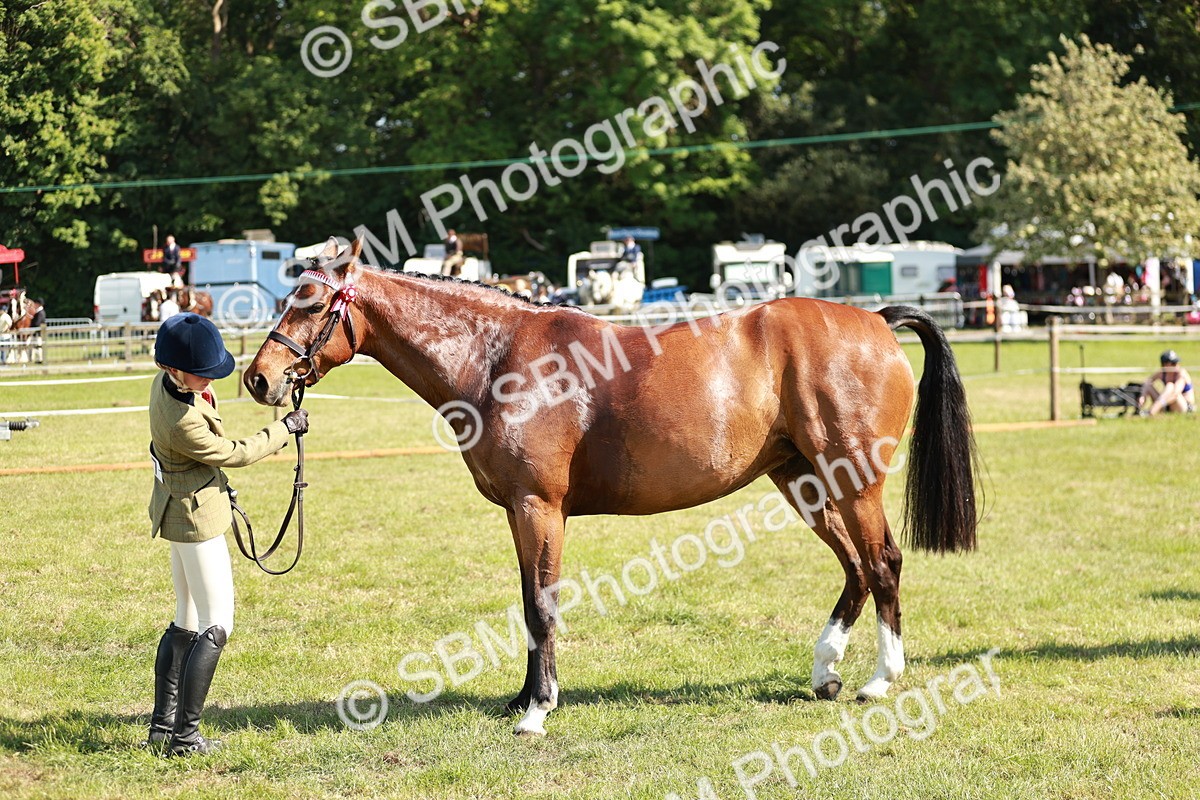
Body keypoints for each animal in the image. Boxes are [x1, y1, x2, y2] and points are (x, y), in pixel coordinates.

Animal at [244, 237, 978, 736]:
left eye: (312, 303)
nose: (258, 378)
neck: (499, 358)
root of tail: (876, 321)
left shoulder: (540, 508)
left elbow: (543, 606)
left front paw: (537, 711)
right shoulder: (520, 512)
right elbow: (528, 604)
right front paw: (523, 697)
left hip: (854, 481)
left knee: (882, 563)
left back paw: (880, 681)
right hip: (801, 479)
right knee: (855, 568)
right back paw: (825, 671)